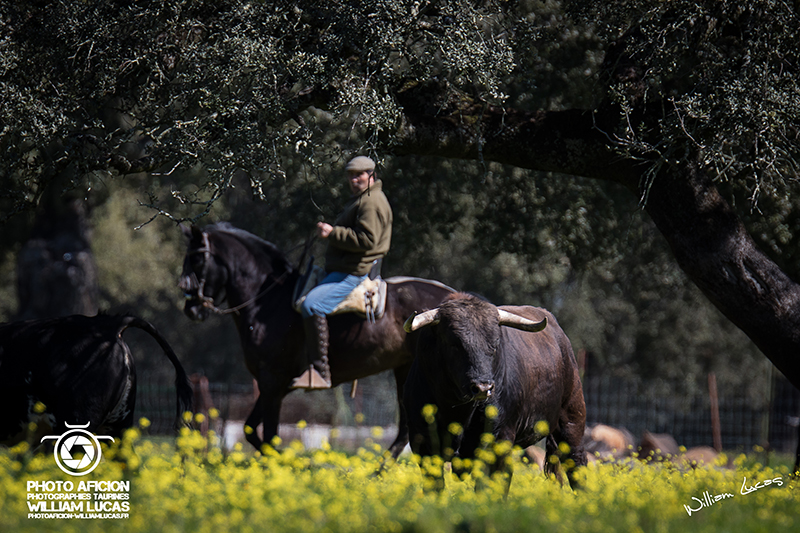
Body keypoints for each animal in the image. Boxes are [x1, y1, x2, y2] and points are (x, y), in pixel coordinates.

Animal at [182, 222, 456, 456]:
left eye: (197, 258)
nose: (191, 309)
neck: (268, 302)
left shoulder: (273, 382)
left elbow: (269, 436)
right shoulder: (273, 385)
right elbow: (251, 429)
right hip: (404, 369)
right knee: (407, 431)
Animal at [404, 294, 584, 488]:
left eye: (495, 343)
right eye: (454, 343)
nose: (483, 387)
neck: (457, 411)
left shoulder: (499, 439)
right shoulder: (423, 444)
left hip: (572, 420)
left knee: (577, 465)